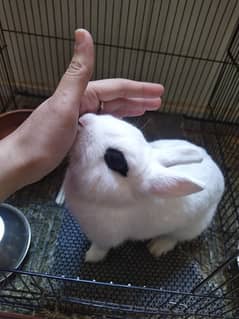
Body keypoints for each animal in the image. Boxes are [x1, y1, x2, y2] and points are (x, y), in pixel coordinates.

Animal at [63, 114, 224, 264]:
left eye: (115, 159)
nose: (83, 120)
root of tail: (220, 177)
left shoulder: (105, 237)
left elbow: (100, 248)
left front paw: (90, 257)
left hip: (191, 227)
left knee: (175, 238)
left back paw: (158, 247)